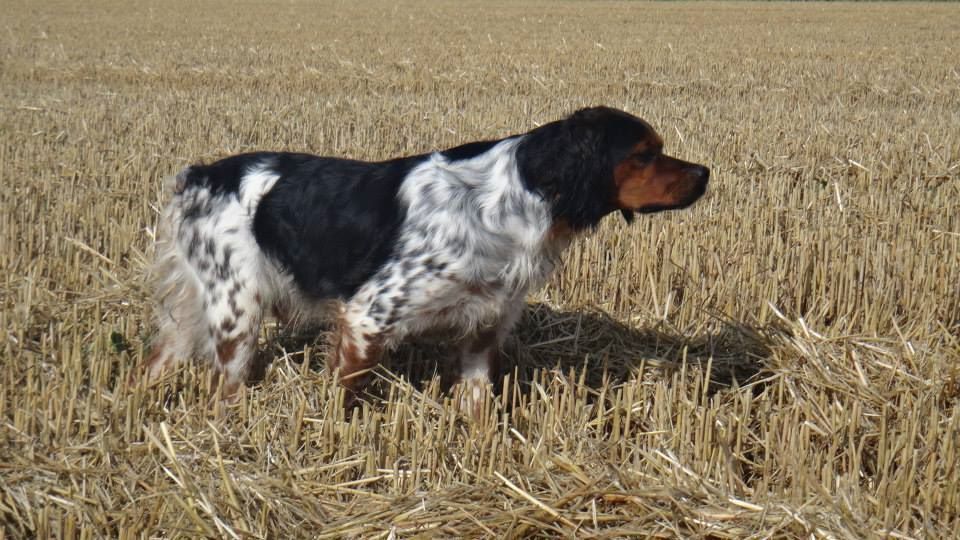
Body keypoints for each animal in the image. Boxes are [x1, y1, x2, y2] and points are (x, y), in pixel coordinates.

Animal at [144, 105, 712, 410]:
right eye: (644, 154)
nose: (706, 173)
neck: (512, 197)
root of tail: (201, 174)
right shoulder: (368, 317)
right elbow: (349, 393)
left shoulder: (485, 325)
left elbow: (478, 400)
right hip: (237, 311)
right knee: (224, 385)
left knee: (159, 359)